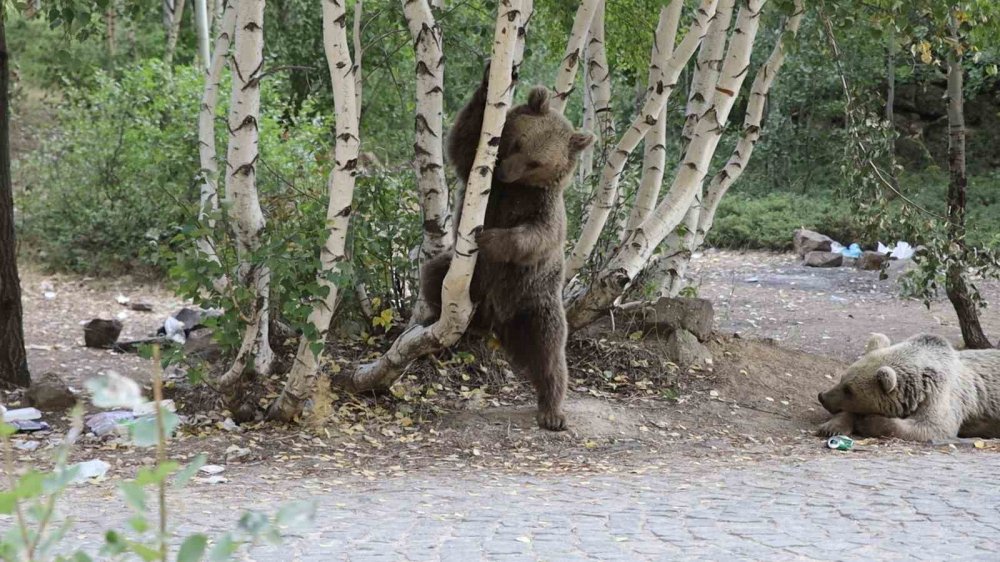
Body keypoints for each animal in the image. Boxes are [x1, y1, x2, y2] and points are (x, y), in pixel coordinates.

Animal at [420, 68, 596, 430]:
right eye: (516, 142)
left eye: (536, 163)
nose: (504, 171)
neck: (516, 189)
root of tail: (496, 319)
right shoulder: (488, 182)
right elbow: (462, 143)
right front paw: (493, 79)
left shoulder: (542, 207)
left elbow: (536, 236)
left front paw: (489, 239)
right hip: (468, 281)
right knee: (432, 274)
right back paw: (440, 314)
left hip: (536, 301)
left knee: (549, 354)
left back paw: (552, 411)